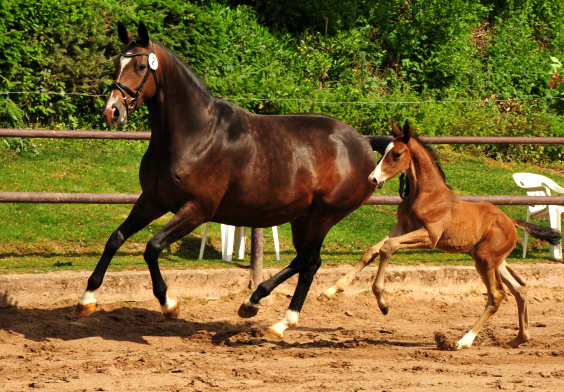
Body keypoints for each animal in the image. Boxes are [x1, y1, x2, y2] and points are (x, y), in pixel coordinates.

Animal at [320, 120, 560, 350]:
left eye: (396, 154)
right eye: (384, 151)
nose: (372, 179)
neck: (426, 194)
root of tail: (511, 221)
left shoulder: (429, 237)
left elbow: (388, 248)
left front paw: (383, 303)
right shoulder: (402, 228)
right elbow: (372, 250)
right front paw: (330, 291)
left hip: (485, 260)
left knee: (496, 294)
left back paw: (464, 341)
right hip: (494, 261)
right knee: (520, 288)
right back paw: (519, 338)